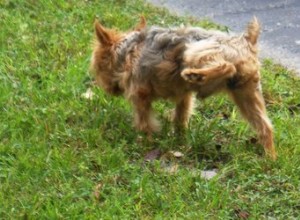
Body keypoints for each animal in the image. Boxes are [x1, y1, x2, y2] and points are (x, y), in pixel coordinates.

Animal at [91, 16, 276, 160]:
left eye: (97, 68)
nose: (106, 88)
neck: (128, 50)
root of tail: (246, 40)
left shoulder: (140, 94)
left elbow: (144, 121)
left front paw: (145, 141)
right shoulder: (184, 96)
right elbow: (181, 116)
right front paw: (180, 140)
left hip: (195, 51)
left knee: (226, 66)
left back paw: (196, 75)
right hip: (246, 93)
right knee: (265, 126)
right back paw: (270, 157)